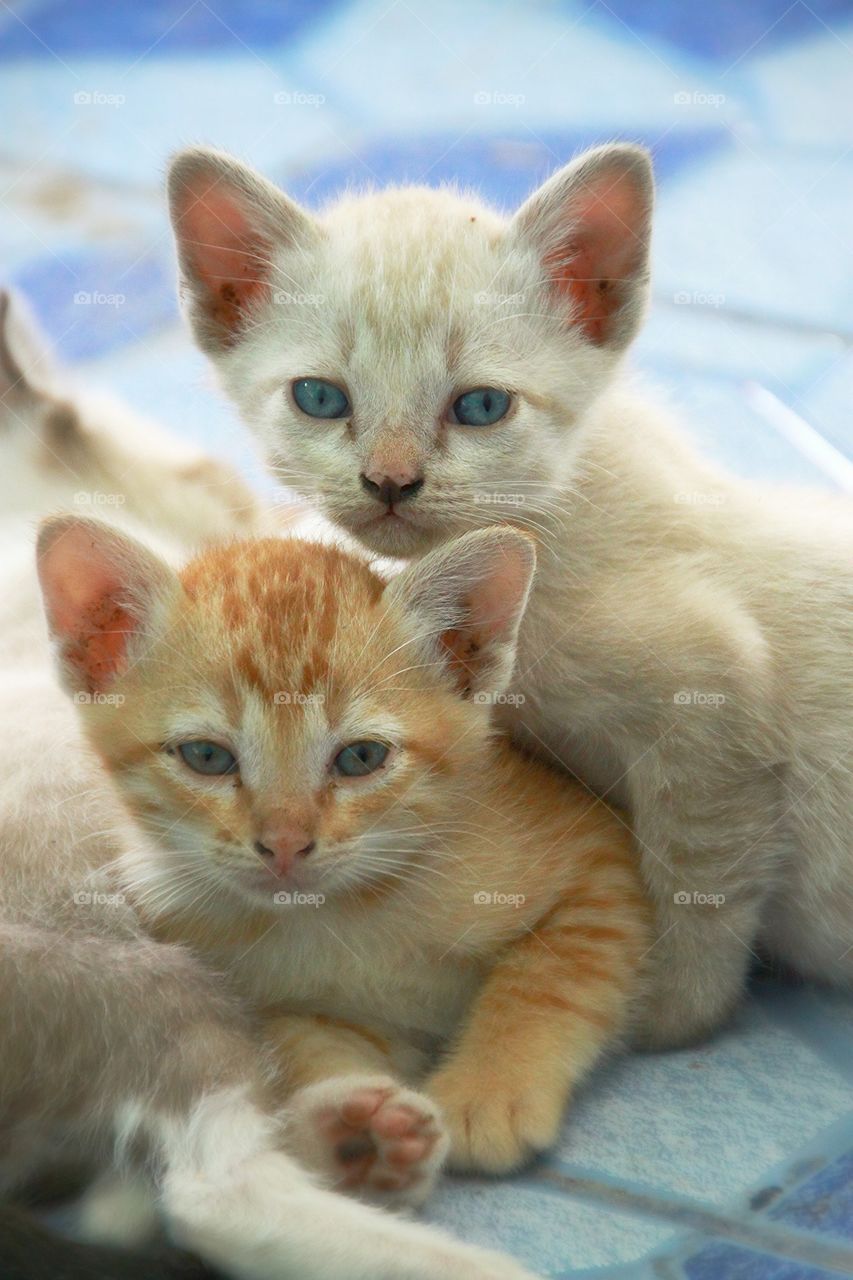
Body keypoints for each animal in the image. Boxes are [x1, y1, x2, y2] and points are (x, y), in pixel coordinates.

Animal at [39, 514, 648, 1203]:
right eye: (206, 756)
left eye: (360, 758)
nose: (284, 843)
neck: (343, 913)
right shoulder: (269, 993)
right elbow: (306, 1039)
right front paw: (353, 1127)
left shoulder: (601, 855)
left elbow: (549, 979)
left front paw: (491, 1088)